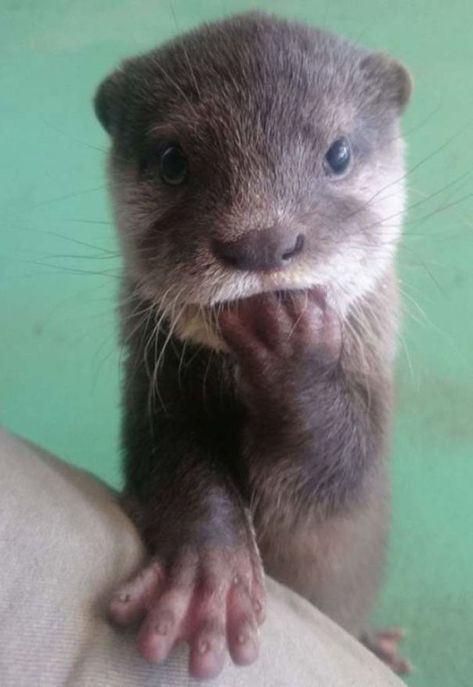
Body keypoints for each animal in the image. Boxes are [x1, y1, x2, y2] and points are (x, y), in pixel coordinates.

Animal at [94, 9, 412, 676]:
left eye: (338, 153)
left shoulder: (367, 410)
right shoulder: (154, 386)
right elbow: (172, 461)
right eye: (173, 160)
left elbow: (332, 473)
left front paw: (297, 358)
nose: (262, 242)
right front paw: (207, 574)